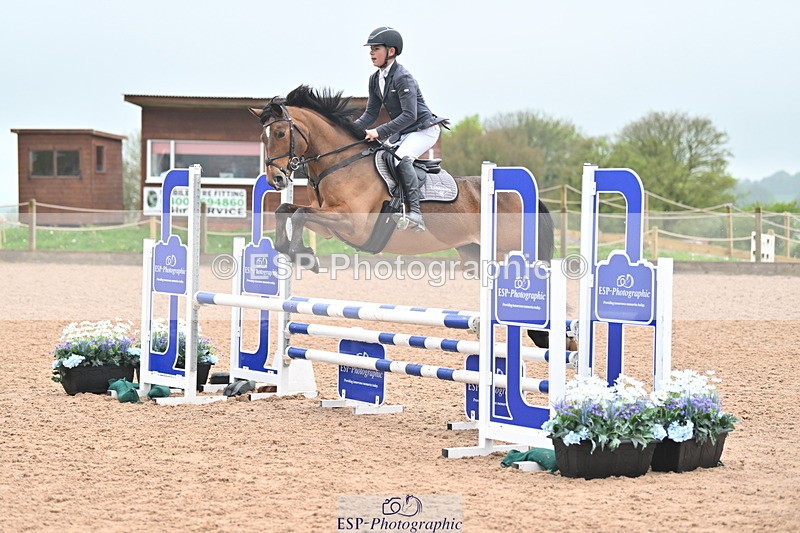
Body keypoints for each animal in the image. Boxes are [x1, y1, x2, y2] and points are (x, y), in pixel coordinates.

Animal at [250, 85, 557, 347]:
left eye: (280, 133)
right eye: (262, 137)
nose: (276, 179)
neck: (341, 163)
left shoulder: (352, 224)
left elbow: (300, 214)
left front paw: (303, 256)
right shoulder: (329, 224)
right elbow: (286, 211)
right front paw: (294, 251)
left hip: (506, 254)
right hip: (474, 255)